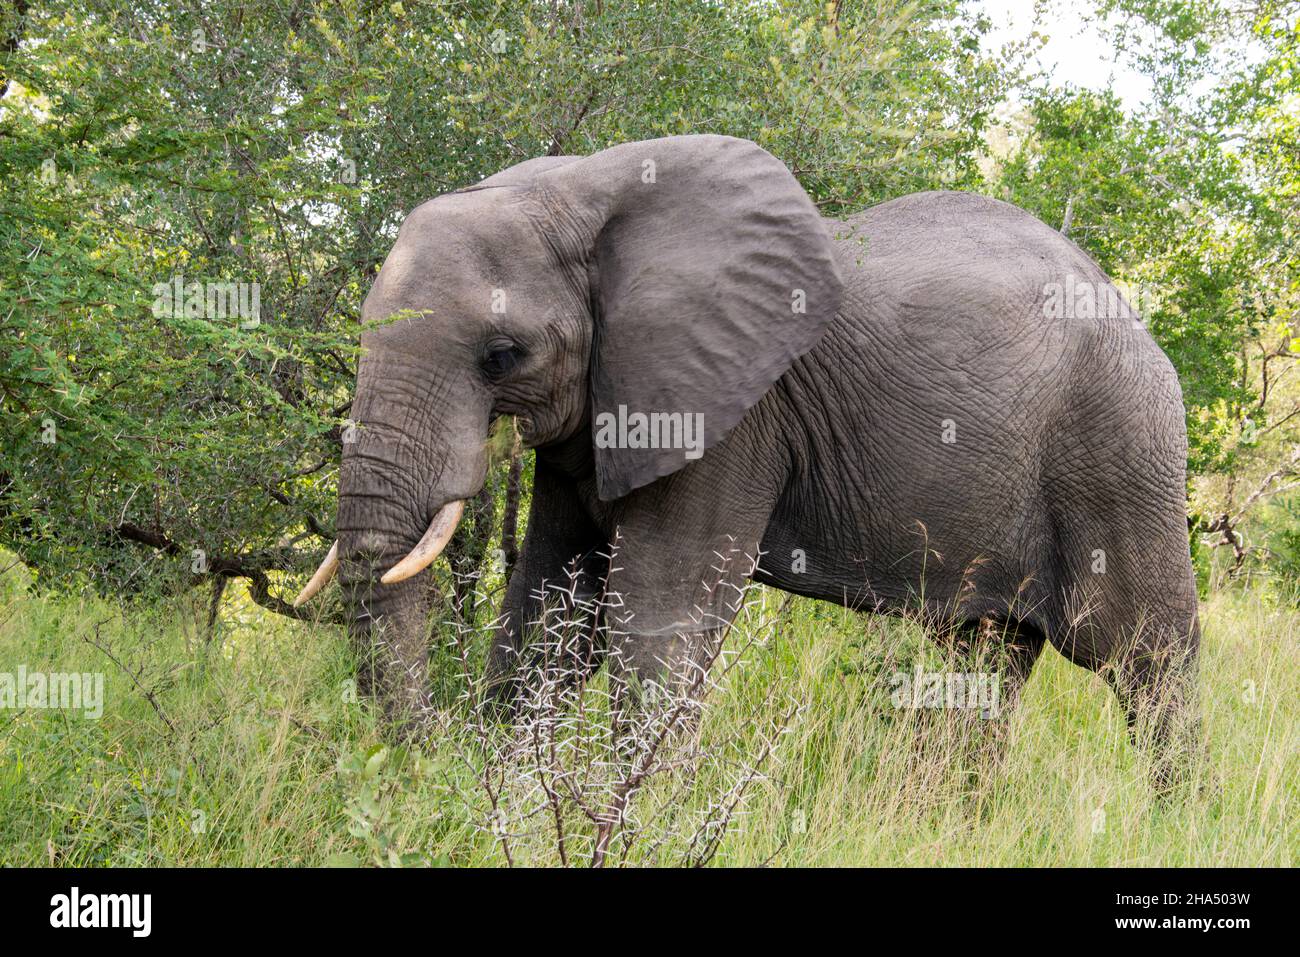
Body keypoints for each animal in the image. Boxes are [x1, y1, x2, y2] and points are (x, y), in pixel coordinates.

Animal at [295, 134, 1196, 790]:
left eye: (501, 354)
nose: (430, 750)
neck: (581, 189)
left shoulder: (735, 416)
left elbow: (655, 612)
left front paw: (642, 818)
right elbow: (551, 601)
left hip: (1122, 449)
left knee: (1147, 660)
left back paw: (1169, 817)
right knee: (982, 660)